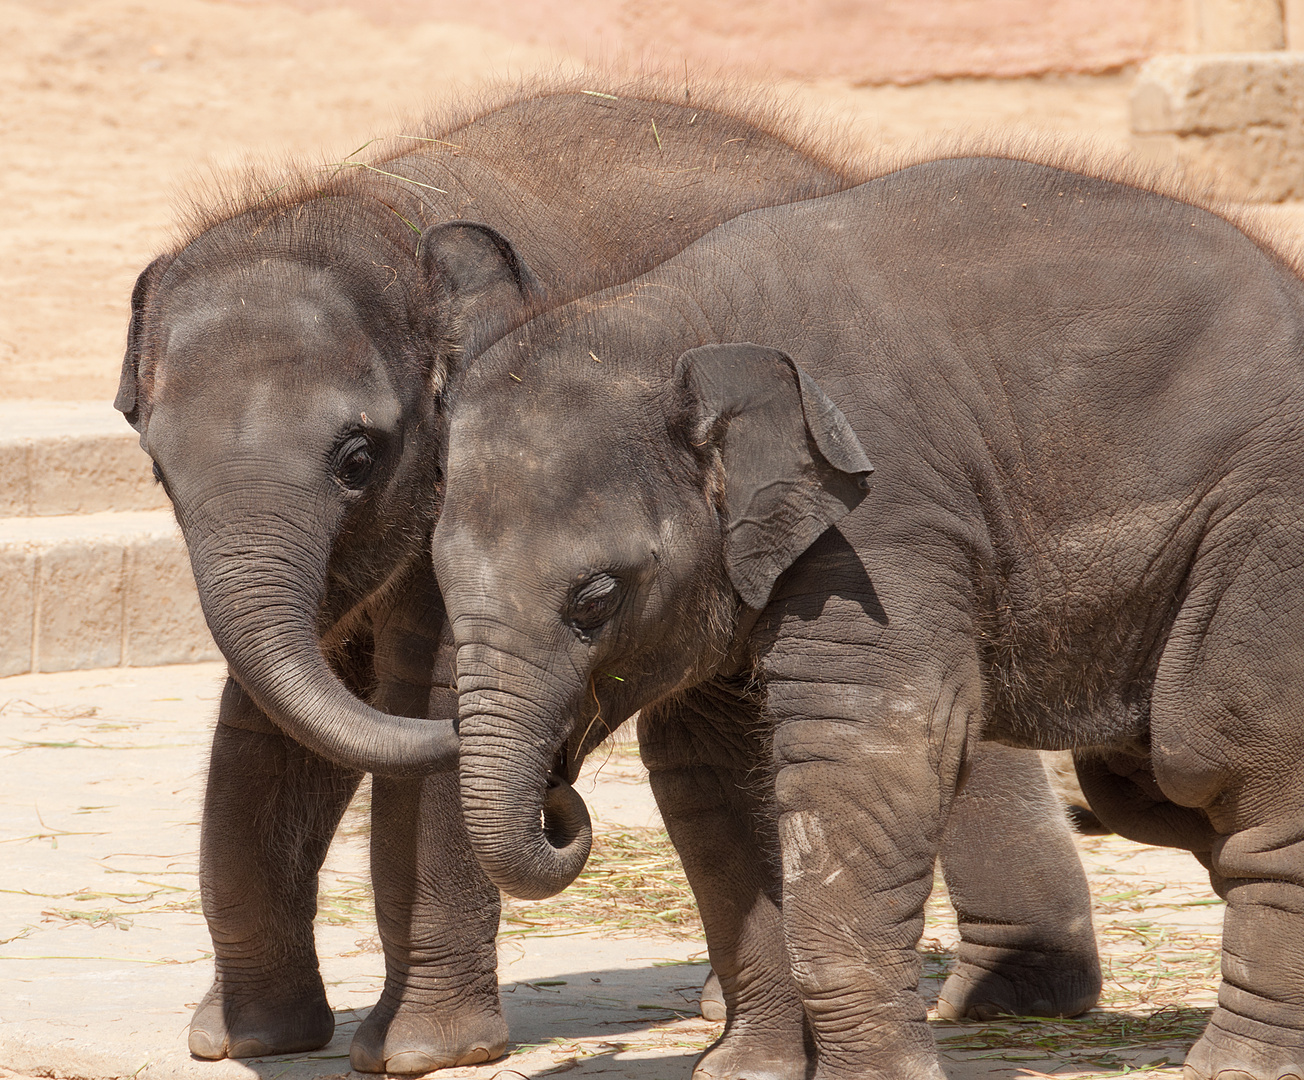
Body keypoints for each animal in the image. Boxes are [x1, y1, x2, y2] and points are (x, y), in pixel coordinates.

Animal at [427, 153, 1304, 1080]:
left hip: (1262, 530)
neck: (677, 317)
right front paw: (749, 1072)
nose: (559, 796)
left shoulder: (881, 524)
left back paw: (1239, 1064)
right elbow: (708, 772)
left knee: (1219, 756)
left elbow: (866, 751)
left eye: (595, 598)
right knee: (1153, 792)